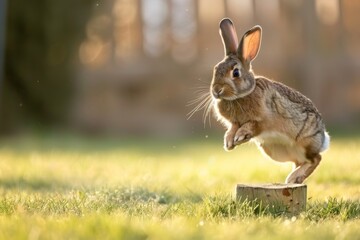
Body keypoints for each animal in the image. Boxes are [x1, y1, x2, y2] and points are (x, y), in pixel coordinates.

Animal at [210, 18, 330, 184]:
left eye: (236, 73)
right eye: (216, 69)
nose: (216, 91)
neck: (241, 96)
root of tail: (323, 138)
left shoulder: (263, 120)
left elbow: (252, 125)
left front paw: (240, 136)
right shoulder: (235, 122)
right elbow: (233, 128)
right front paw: (229, 142)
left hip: (306, 142)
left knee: (316, 158)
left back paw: (294, 178)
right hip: (276, 152)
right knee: (300, 161)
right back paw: (294, 178)